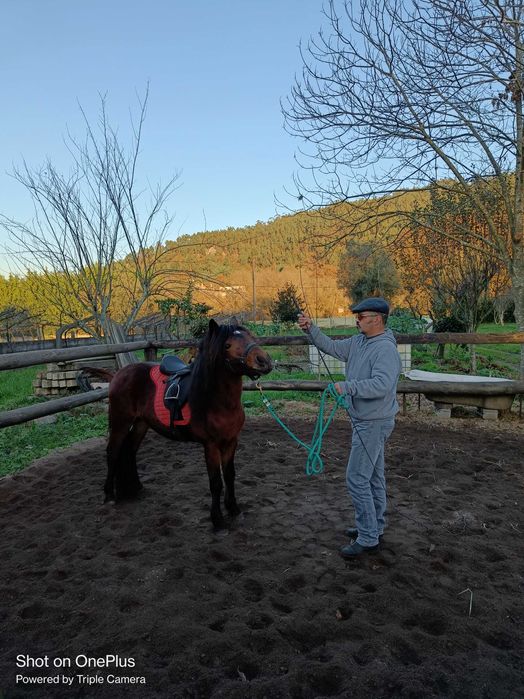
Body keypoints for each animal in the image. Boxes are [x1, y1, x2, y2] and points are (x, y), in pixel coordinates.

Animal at [83, 319, 272, 529]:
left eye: (251, 336)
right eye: (227, 345)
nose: (264, 361)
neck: (216, 400)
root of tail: (118, 374)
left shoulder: (231, 441)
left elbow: (230, 475)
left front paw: (234, 509)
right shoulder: (211, 445)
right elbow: (216, 482)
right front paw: (217, 519)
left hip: (141, 424)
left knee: (130, 451)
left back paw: (135, 487)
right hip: (120, 421)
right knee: (113, 453)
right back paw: (109, 495)